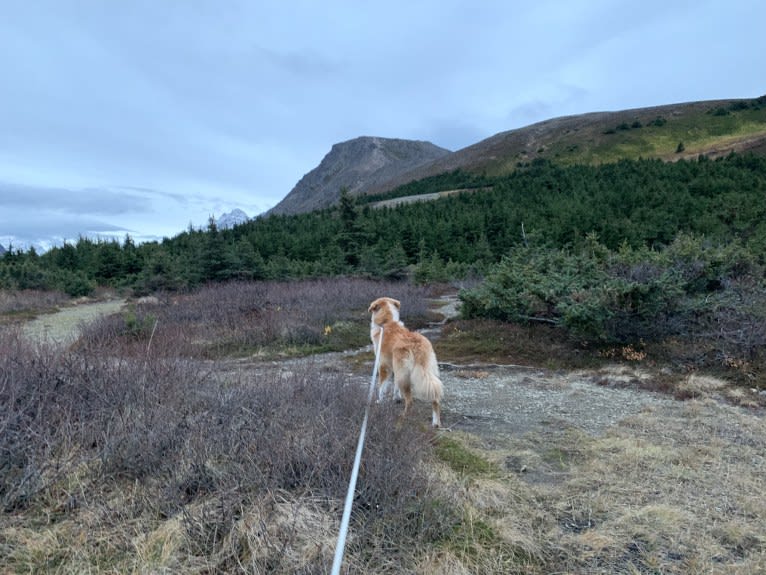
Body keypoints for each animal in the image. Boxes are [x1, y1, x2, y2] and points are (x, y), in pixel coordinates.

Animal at [370, 296, 444, 428]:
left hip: (404, 375)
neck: (387, 322)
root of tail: (416, 345)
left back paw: (403, 418)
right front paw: (396, 398)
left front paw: (380, 401)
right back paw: (435, 423)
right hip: (428, 371)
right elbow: (395, 385)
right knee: (435, 395)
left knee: (410, 401)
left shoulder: (383, 366)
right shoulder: (394, 369)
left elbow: (381, 387)